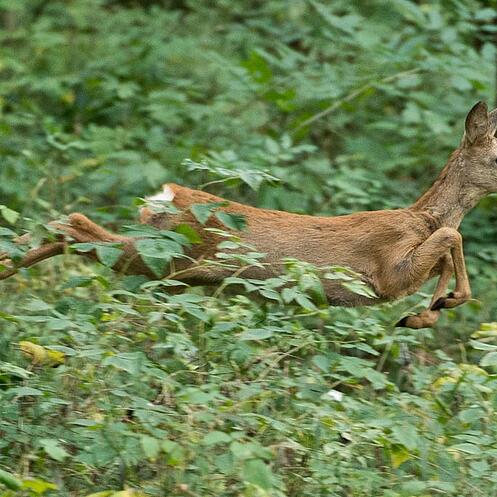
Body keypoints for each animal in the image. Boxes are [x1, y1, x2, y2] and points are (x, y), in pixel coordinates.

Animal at [1, 101, 496, 329]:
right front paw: (434, 307)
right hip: (167, 254)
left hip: (168, 261)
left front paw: (430, 310)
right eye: (494, 157)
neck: (422, 216)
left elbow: (448, 250)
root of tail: (164, 195)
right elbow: (454, 238)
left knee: (70, 228)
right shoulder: (388, 271)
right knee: (73, 223)